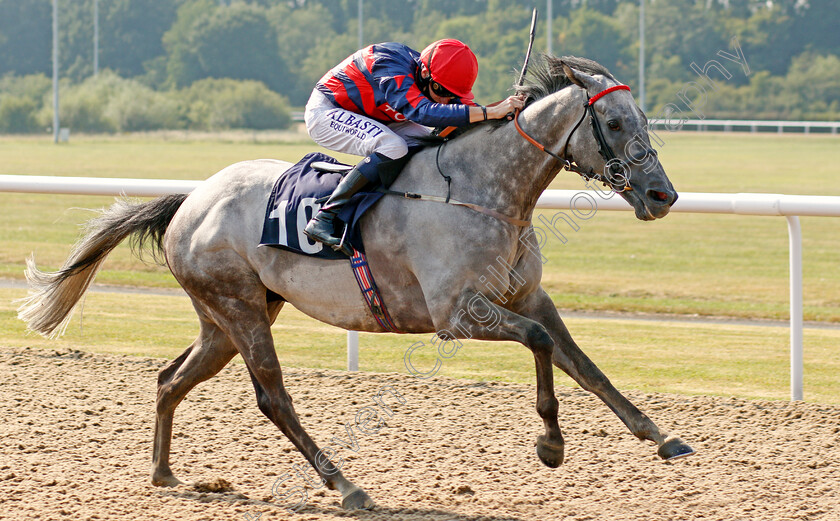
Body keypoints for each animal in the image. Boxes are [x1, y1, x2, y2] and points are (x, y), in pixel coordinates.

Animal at [18, 57, 688, 508]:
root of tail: (192, 201)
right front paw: (551, 444)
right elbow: (543, 345)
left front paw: (660, 437)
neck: (485, 190)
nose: (663, 196)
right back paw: (346, 486)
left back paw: (163, 473)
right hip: (240, 309)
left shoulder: (527, 296)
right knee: (273, 398)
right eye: (614, 122)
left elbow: (585, 365)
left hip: (226, 318)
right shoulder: (457, 314)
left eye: (641, 118)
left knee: (169, 378)